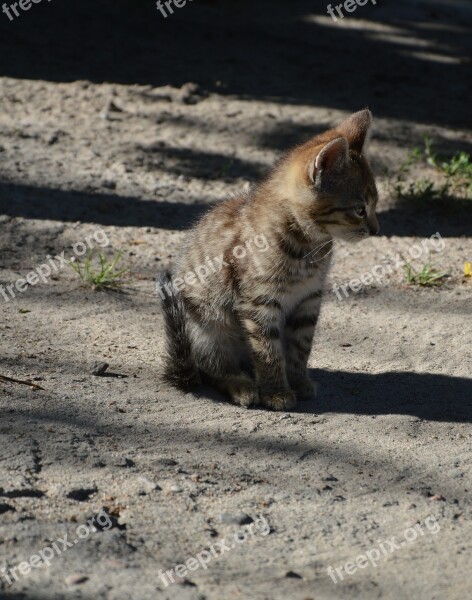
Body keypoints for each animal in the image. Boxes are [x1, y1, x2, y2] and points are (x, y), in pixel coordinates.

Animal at [159, 108, 380, 410]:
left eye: (375, 204)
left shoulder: (308, 299)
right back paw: (241, 384)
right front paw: (276, 391)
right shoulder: (260, 302)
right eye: (359, 210)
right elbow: (267, 350)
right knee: (212, 369)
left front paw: (297, 381)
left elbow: (300, 347)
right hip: (208, 324)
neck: (307, 245)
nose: (377, 230)